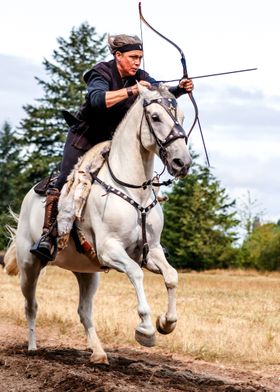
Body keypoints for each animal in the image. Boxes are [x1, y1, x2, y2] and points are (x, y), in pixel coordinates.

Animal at [3, 83, 192, 364]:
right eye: (156, 117)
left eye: (181, 118)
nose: (182, 162)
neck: (134, 190)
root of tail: (27, 201)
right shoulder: (110, 249)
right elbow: (136, 273)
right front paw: (146, 329)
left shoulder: (151, 251)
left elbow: (172, 276)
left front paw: (166, 323)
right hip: (29, 265)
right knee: (31, 305)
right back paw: (33, 349)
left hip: (86, 272)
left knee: (84, 310)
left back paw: (99, 353)